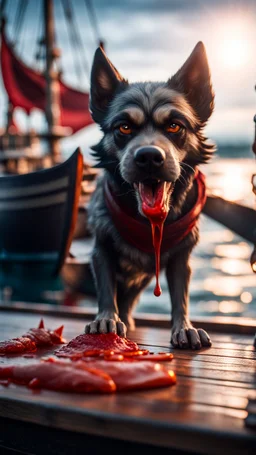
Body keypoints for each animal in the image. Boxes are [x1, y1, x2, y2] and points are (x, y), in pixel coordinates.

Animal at [85, 41, 215, 350]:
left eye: (174, 126)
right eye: (123, 127)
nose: (148, 157)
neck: (148, 224)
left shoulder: (182, 257)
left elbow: (180, 296)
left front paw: (184, 327)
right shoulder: (101, 248)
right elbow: (106, 288)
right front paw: (106, 318)